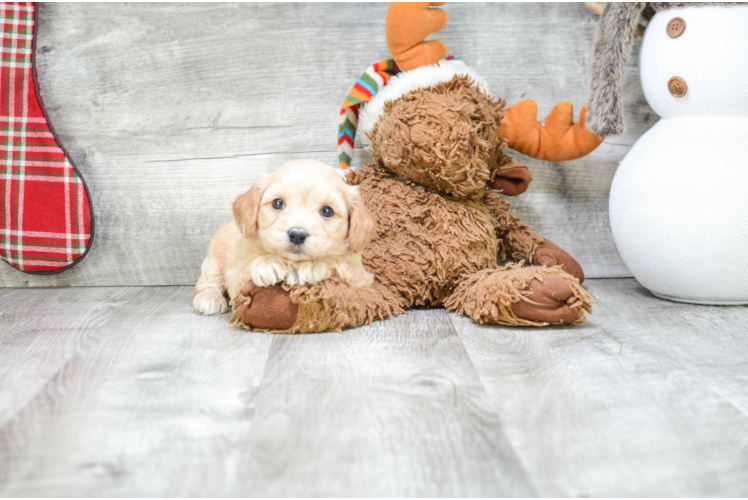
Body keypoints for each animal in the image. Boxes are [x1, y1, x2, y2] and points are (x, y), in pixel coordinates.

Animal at [193, 160, 376, 314]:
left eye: (327, 211)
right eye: (278, 203)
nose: (297, 235)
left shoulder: (361, 279)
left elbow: (339, 262)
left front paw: (310, 267)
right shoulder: (235, 278)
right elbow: (245, 271)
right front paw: (268, 264)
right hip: (215, 256)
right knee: (208, 280)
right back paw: (209, 298)